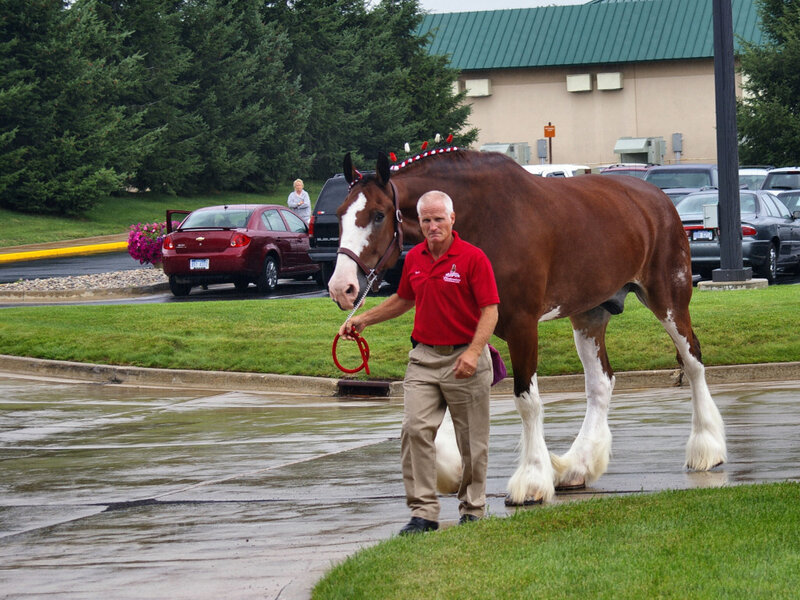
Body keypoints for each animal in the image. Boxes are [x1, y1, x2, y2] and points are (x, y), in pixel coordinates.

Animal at [328, 148, 726, 505]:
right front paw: (451, 470)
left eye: (378, 215)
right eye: (340, 215)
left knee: (693, 362)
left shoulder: (522, 326)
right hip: (589, 314)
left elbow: (527, 402)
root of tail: (658, 199)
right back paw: (578, 467)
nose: (341, 287)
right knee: (601, 384)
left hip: (669, 300)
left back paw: (708, 449)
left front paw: (532, 480)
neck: (484, 219)